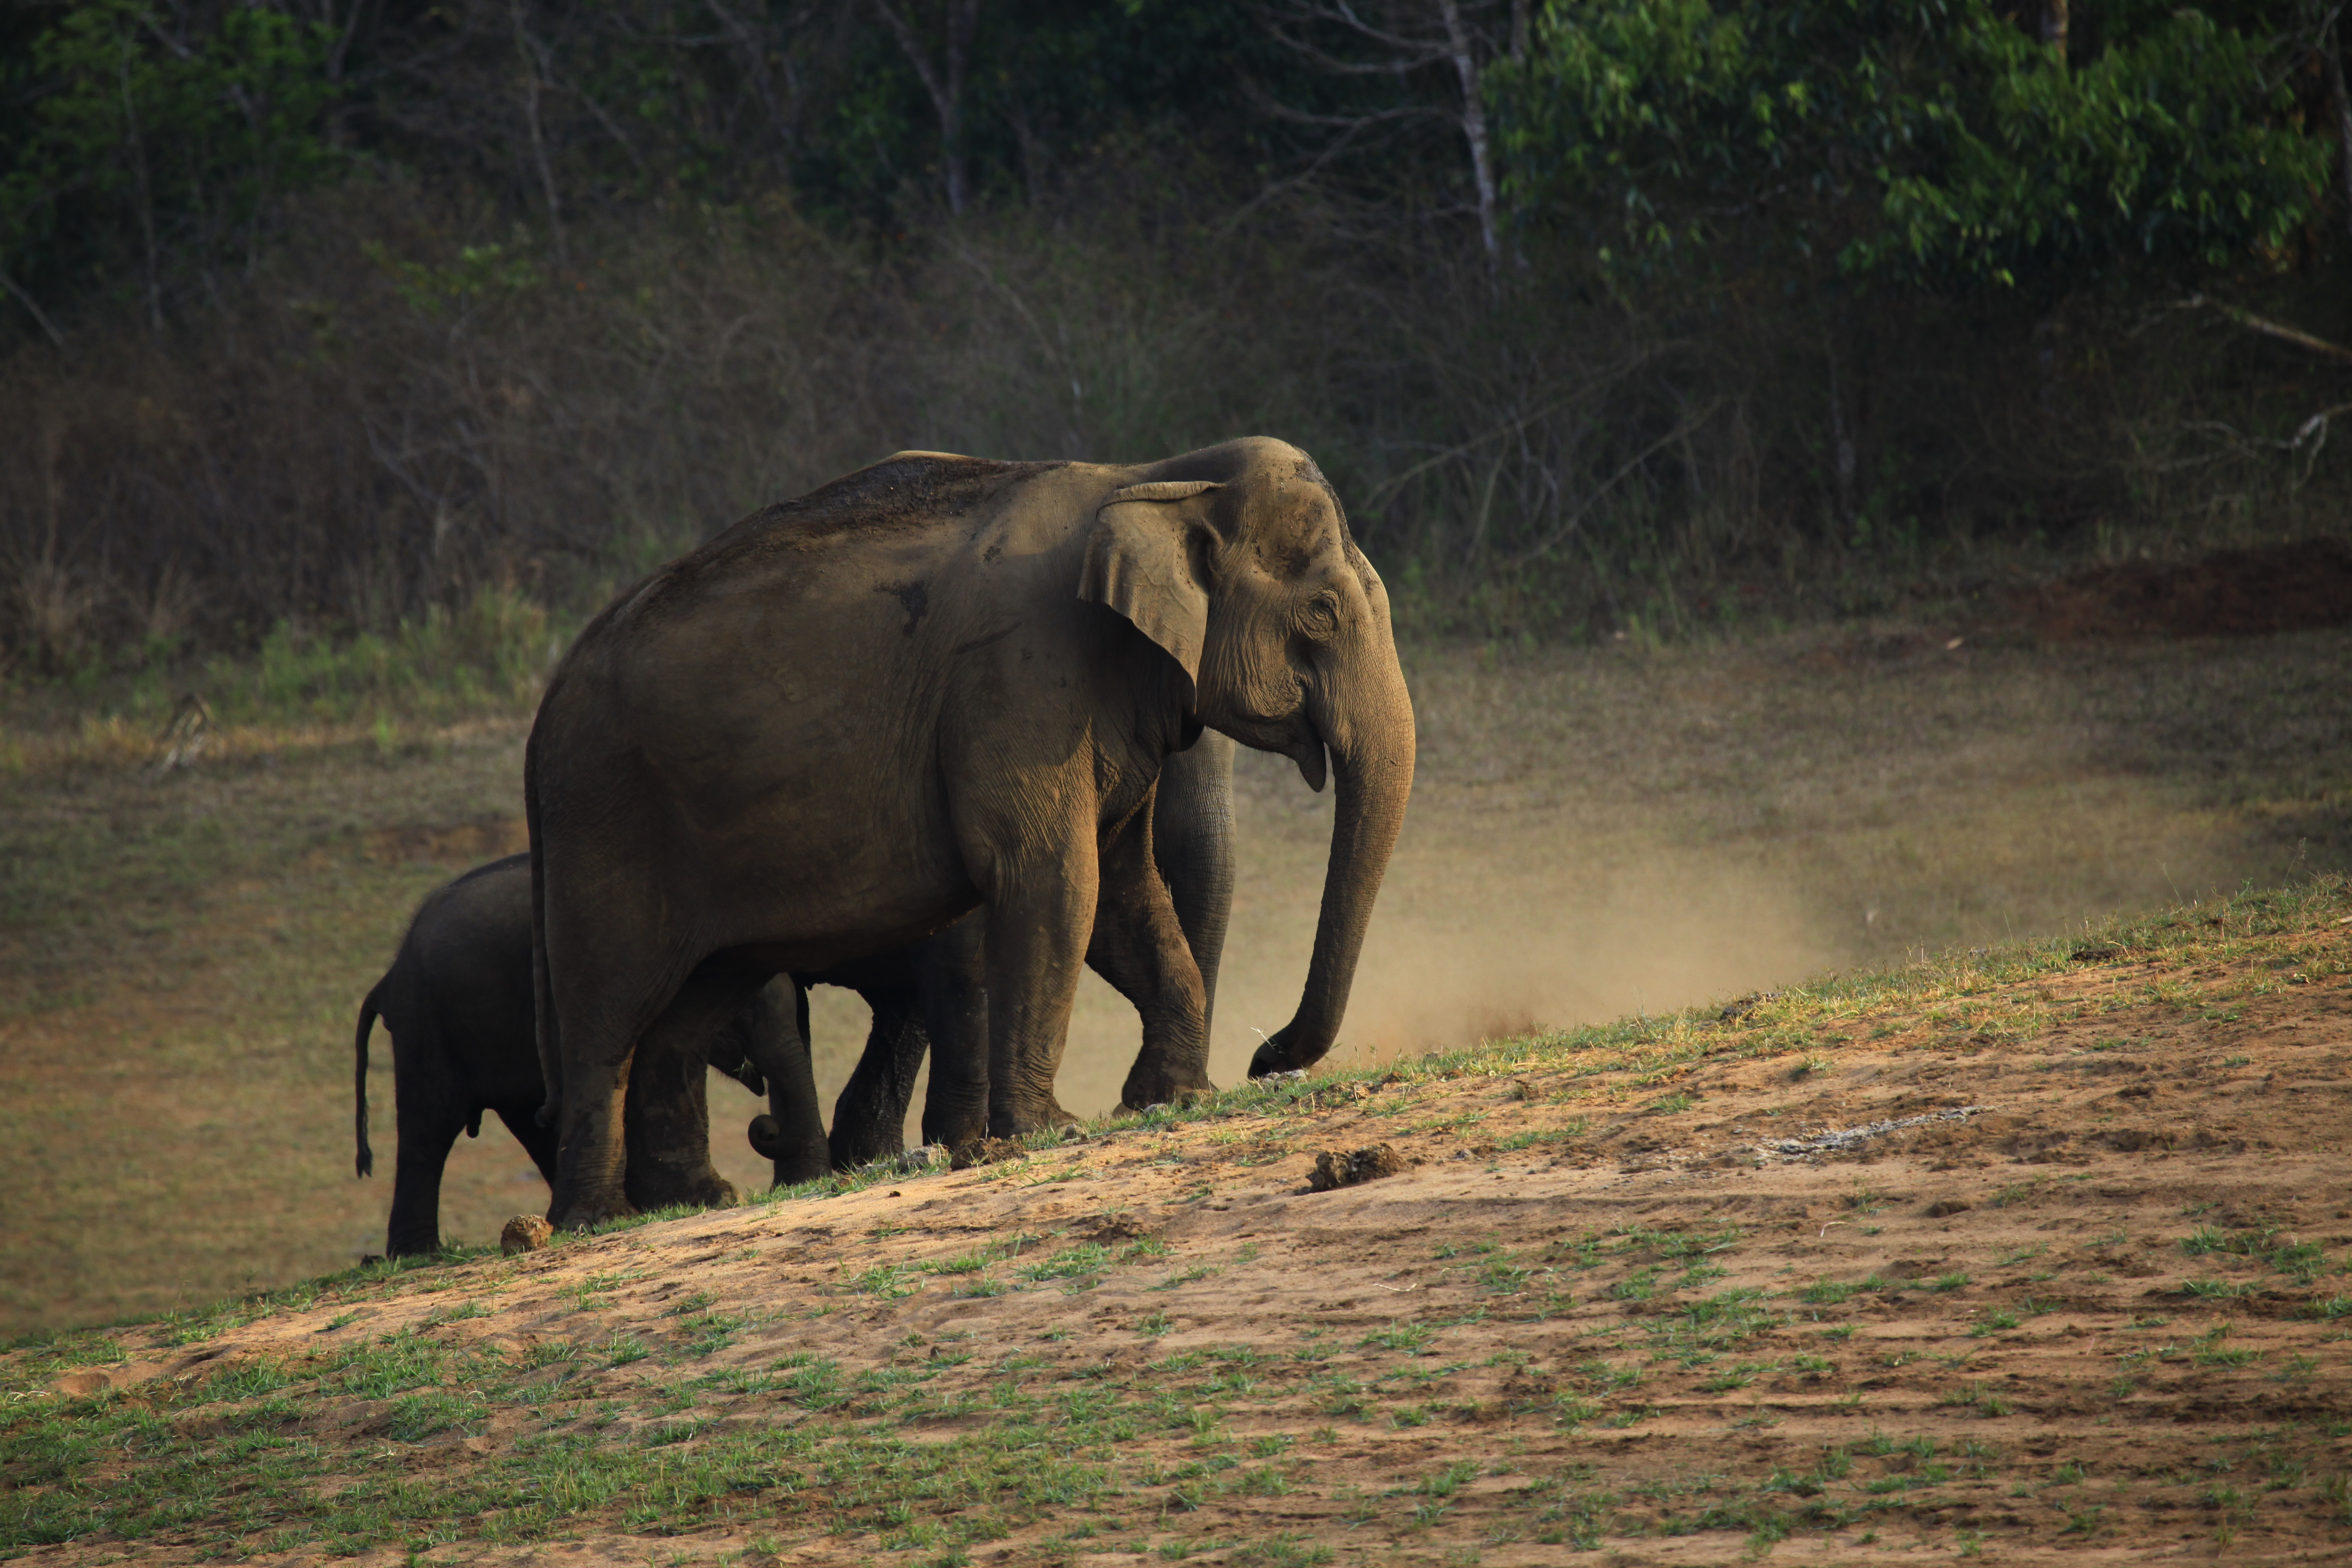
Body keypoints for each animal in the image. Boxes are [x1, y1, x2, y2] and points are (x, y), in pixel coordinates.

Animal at [353, 853, 825, 1255]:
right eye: (742, 1010)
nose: (766, 1128)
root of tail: (389, 977)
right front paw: (704, 1199)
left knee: (529, 1121)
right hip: (424, 1023)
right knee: (431, 1128)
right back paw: (420, 1253)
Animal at [528, 436, 1415, 1231]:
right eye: (1322, 610)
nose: (1267, 1056)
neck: (1152, 476)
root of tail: (544, 712)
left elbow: (1122, 893)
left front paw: (1172, 1097)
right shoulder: (1020, 676)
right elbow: (1053, 878)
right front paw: (1052, 1128)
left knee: (690, 1008)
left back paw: (687, 1200)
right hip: (603, 822)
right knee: (608, 1012)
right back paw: (594, 1218)